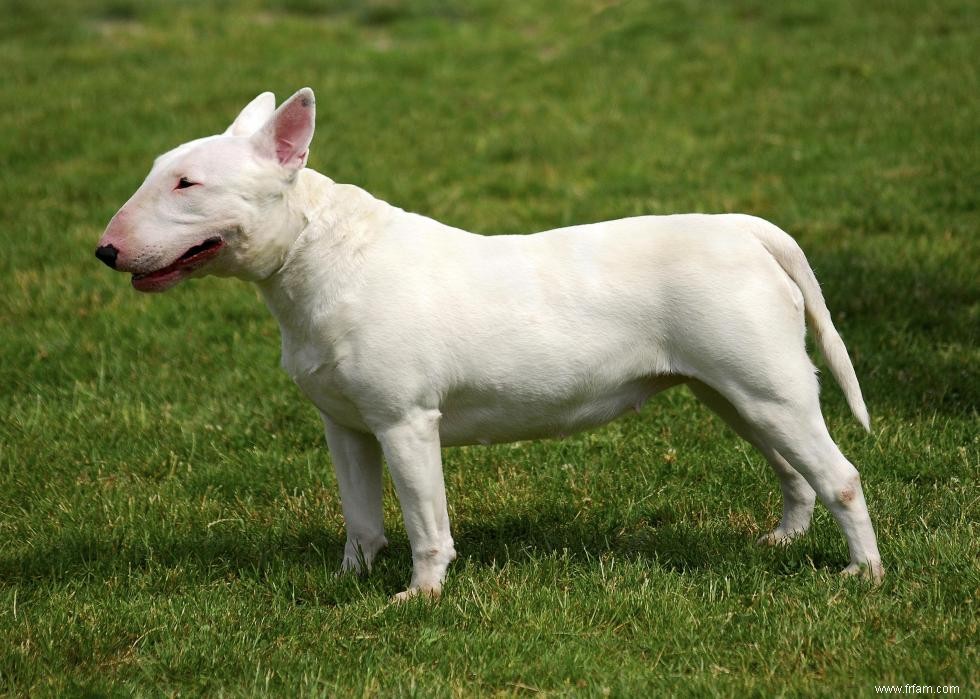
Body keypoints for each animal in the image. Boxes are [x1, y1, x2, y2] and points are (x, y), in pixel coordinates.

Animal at [95, 89, 884, 600]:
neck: (320, 255)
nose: (105, 250)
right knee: (792, 470)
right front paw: (349, 580)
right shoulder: (345, 425)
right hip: (730, 391)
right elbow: (360, 517)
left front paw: (419, 596)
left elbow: (425, 521)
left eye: (187, 183)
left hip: (768, 387)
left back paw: (863, 575)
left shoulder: (406, 421)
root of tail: (745, 228)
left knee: (840, 474)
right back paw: (781, 541)